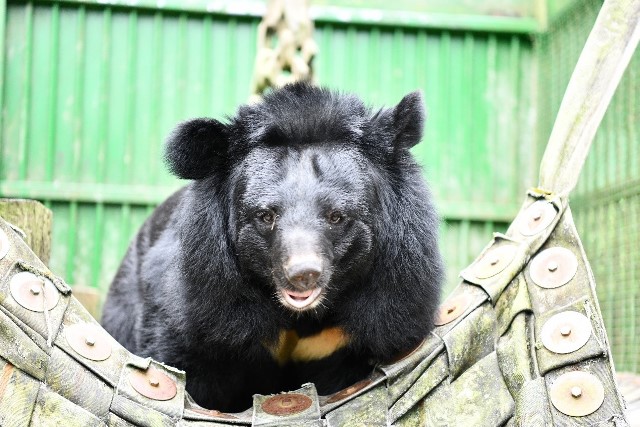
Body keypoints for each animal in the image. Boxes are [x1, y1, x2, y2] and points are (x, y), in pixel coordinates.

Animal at [101, 82, 444, 413]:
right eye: (266, 215)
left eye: (336, 216)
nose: (303, 274)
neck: (300, 319)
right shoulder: (201, 304)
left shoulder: (382, 303)